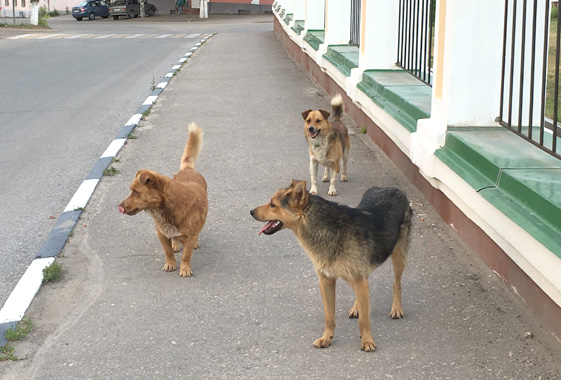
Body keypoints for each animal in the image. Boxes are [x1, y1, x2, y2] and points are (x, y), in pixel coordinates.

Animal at [118, 123, 208, 278]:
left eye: (135, 191)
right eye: (131, 190)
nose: (119, 206)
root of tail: (188, 169)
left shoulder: (190, 236)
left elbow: (186, 255)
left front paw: (185, 268)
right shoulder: (161, 234)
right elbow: (168, 252)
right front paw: (171, 263)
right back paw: (176, 244)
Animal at [250, 180, 412, 352]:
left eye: (272, 205)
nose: (251, 212)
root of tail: (393, 188)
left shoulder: (357, 278)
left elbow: (364, 320)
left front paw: (367, 340)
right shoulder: (326, 281)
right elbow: (329, 316)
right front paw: (326, 338)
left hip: (398, 257)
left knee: (396, 284)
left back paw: (396, 308)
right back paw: (357, 307)